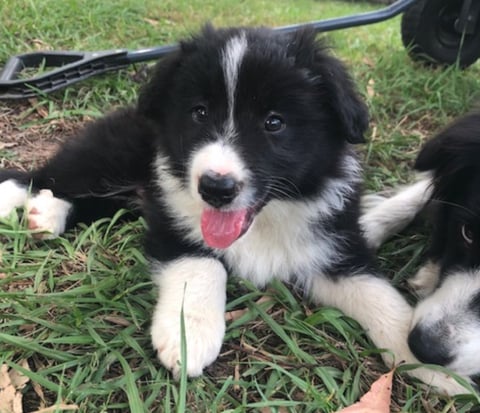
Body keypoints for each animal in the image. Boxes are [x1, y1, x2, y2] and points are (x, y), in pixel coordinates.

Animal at [0, 25, 464, 392]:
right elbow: (205, 264)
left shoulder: (335, 246)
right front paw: (189, 334)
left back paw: (47, 214)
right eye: (199, 112)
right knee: (48, 173)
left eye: (274, 122)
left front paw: (432, 363)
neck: (266, 219)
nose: (215, 188)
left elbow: (379, 294)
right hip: (115, 154)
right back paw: (24, 201)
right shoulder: (173, 220)